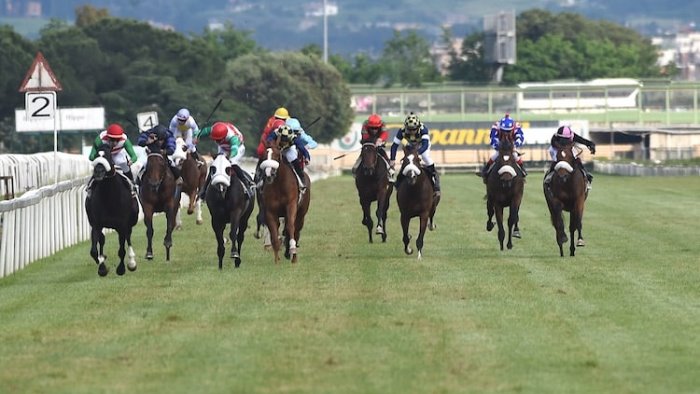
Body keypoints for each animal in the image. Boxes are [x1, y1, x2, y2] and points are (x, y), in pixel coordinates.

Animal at [85, 145, 139, 278]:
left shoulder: (122, 225)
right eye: (96, 156)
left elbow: (122, 250)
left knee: (128, 238)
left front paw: (121, 269)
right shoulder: (96, 224)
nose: (98, 172)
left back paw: (132, 263)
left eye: (109, 156)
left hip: (130, 222)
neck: (109, 196)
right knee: (102, 239)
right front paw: (102, 267)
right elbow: (94, 251)